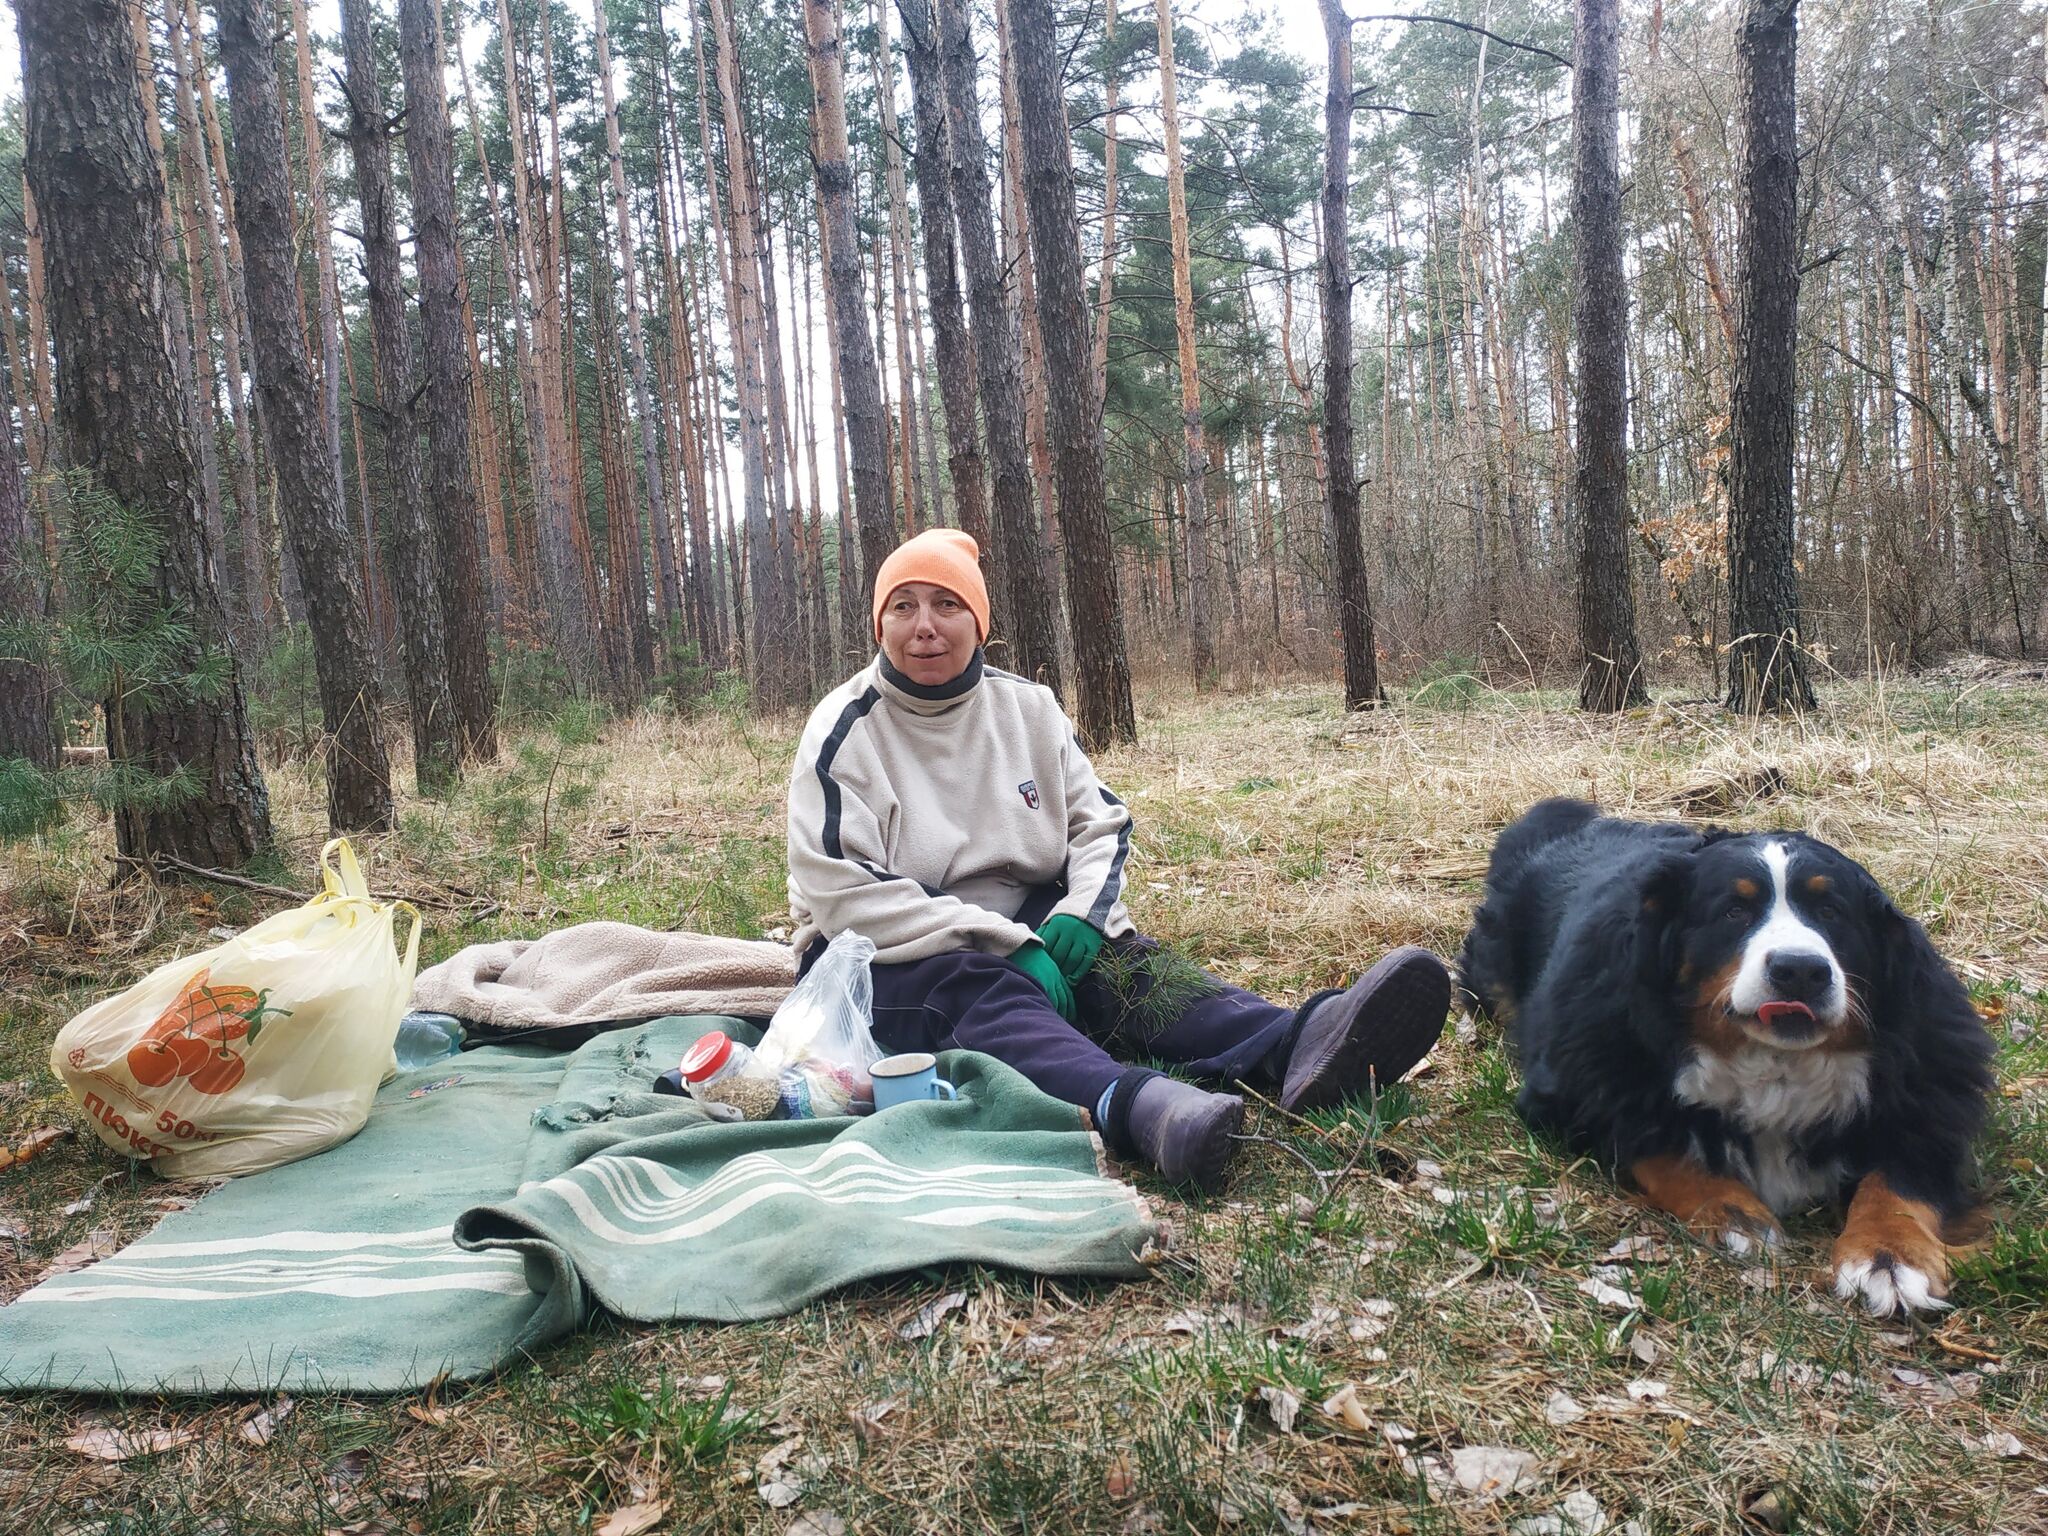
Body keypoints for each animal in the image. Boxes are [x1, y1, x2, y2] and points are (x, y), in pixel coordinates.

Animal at [1466, 798, 1990, 1318]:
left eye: (1831, 911)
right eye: (1734, 911)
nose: (1800, 970)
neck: (1774, 1062)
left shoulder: (1927, 1100)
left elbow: (1898, 1181)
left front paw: (1890, 1258)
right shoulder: (1582, 1088)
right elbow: (1665, 1146)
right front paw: (1737, 1215)